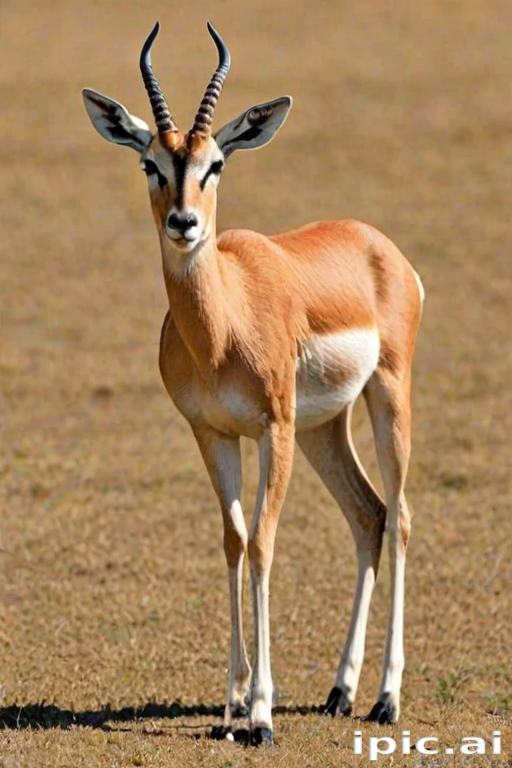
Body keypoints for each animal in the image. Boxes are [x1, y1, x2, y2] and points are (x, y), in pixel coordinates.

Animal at [82, 21, 424, 745]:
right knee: (368, 513)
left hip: (384, 399)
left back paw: (385, 699)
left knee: (402, 515)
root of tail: (378, 245)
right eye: (150, 164)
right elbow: (234, 541)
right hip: (324, 427)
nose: (184, 224)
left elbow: (265, 542)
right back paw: (339, 691)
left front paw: (262, 713)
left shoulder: (272, 428)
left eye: (216, 164)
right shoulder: (212, 432)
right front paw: (232, 705)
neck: (222, 325)